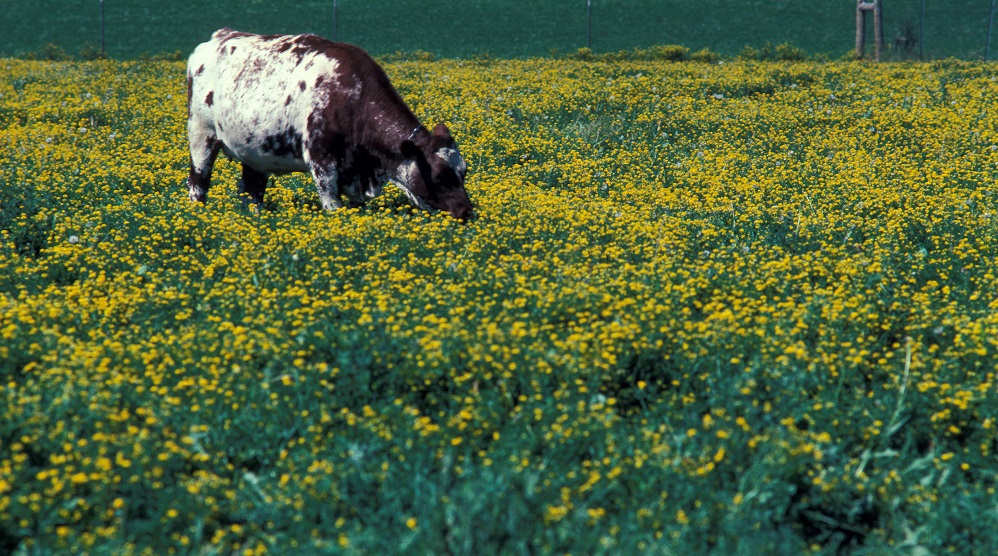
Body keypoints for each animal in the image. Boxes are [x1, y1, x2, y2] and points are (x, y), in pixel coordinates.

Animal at [188, 28, 476, 219]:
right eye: (439, 175)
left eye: (463, 171)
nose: (466, 212)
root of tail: (219, 36)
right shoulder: (321, 161)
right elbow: (332, 207)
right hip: (201, 135)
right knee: (197, 182)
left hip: (253, 152)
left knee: (251, 192)